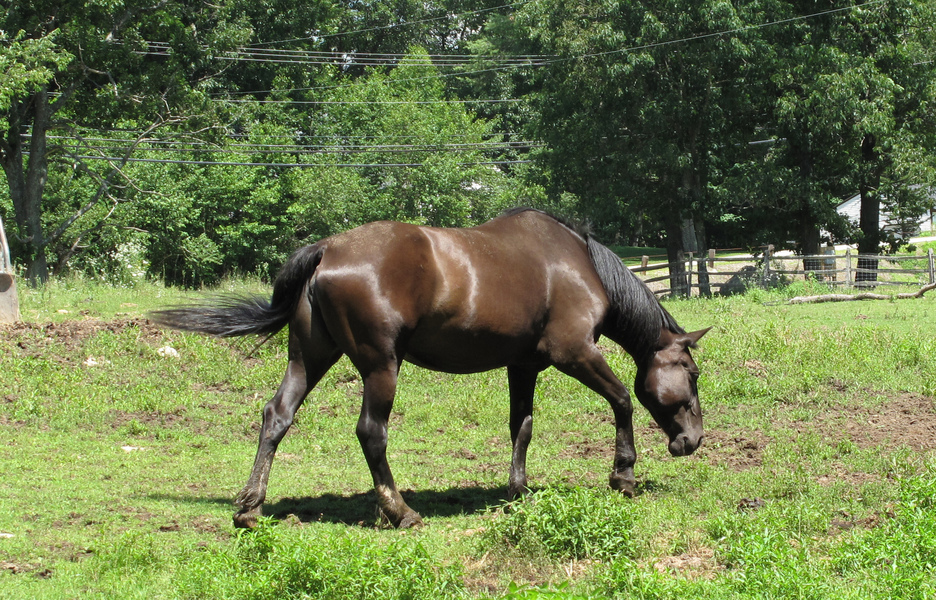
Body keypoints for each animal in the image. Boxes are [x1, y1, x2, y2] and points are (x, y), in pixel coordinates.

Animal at [151, 208, 709, 528]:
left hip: (310, 357)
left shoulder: (523, 366)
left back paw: (250, 508)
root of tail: (327, 249)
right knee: (371, 432)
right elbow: (621, 399)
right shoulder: (574, 353)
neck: (576, 262)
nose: (693, 440)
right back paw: (399, 511)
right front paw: (624, 475)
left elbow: (522, 427)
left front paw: (517, 492)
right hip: (380, 365)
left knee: (277, 416)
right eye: (692, 372)